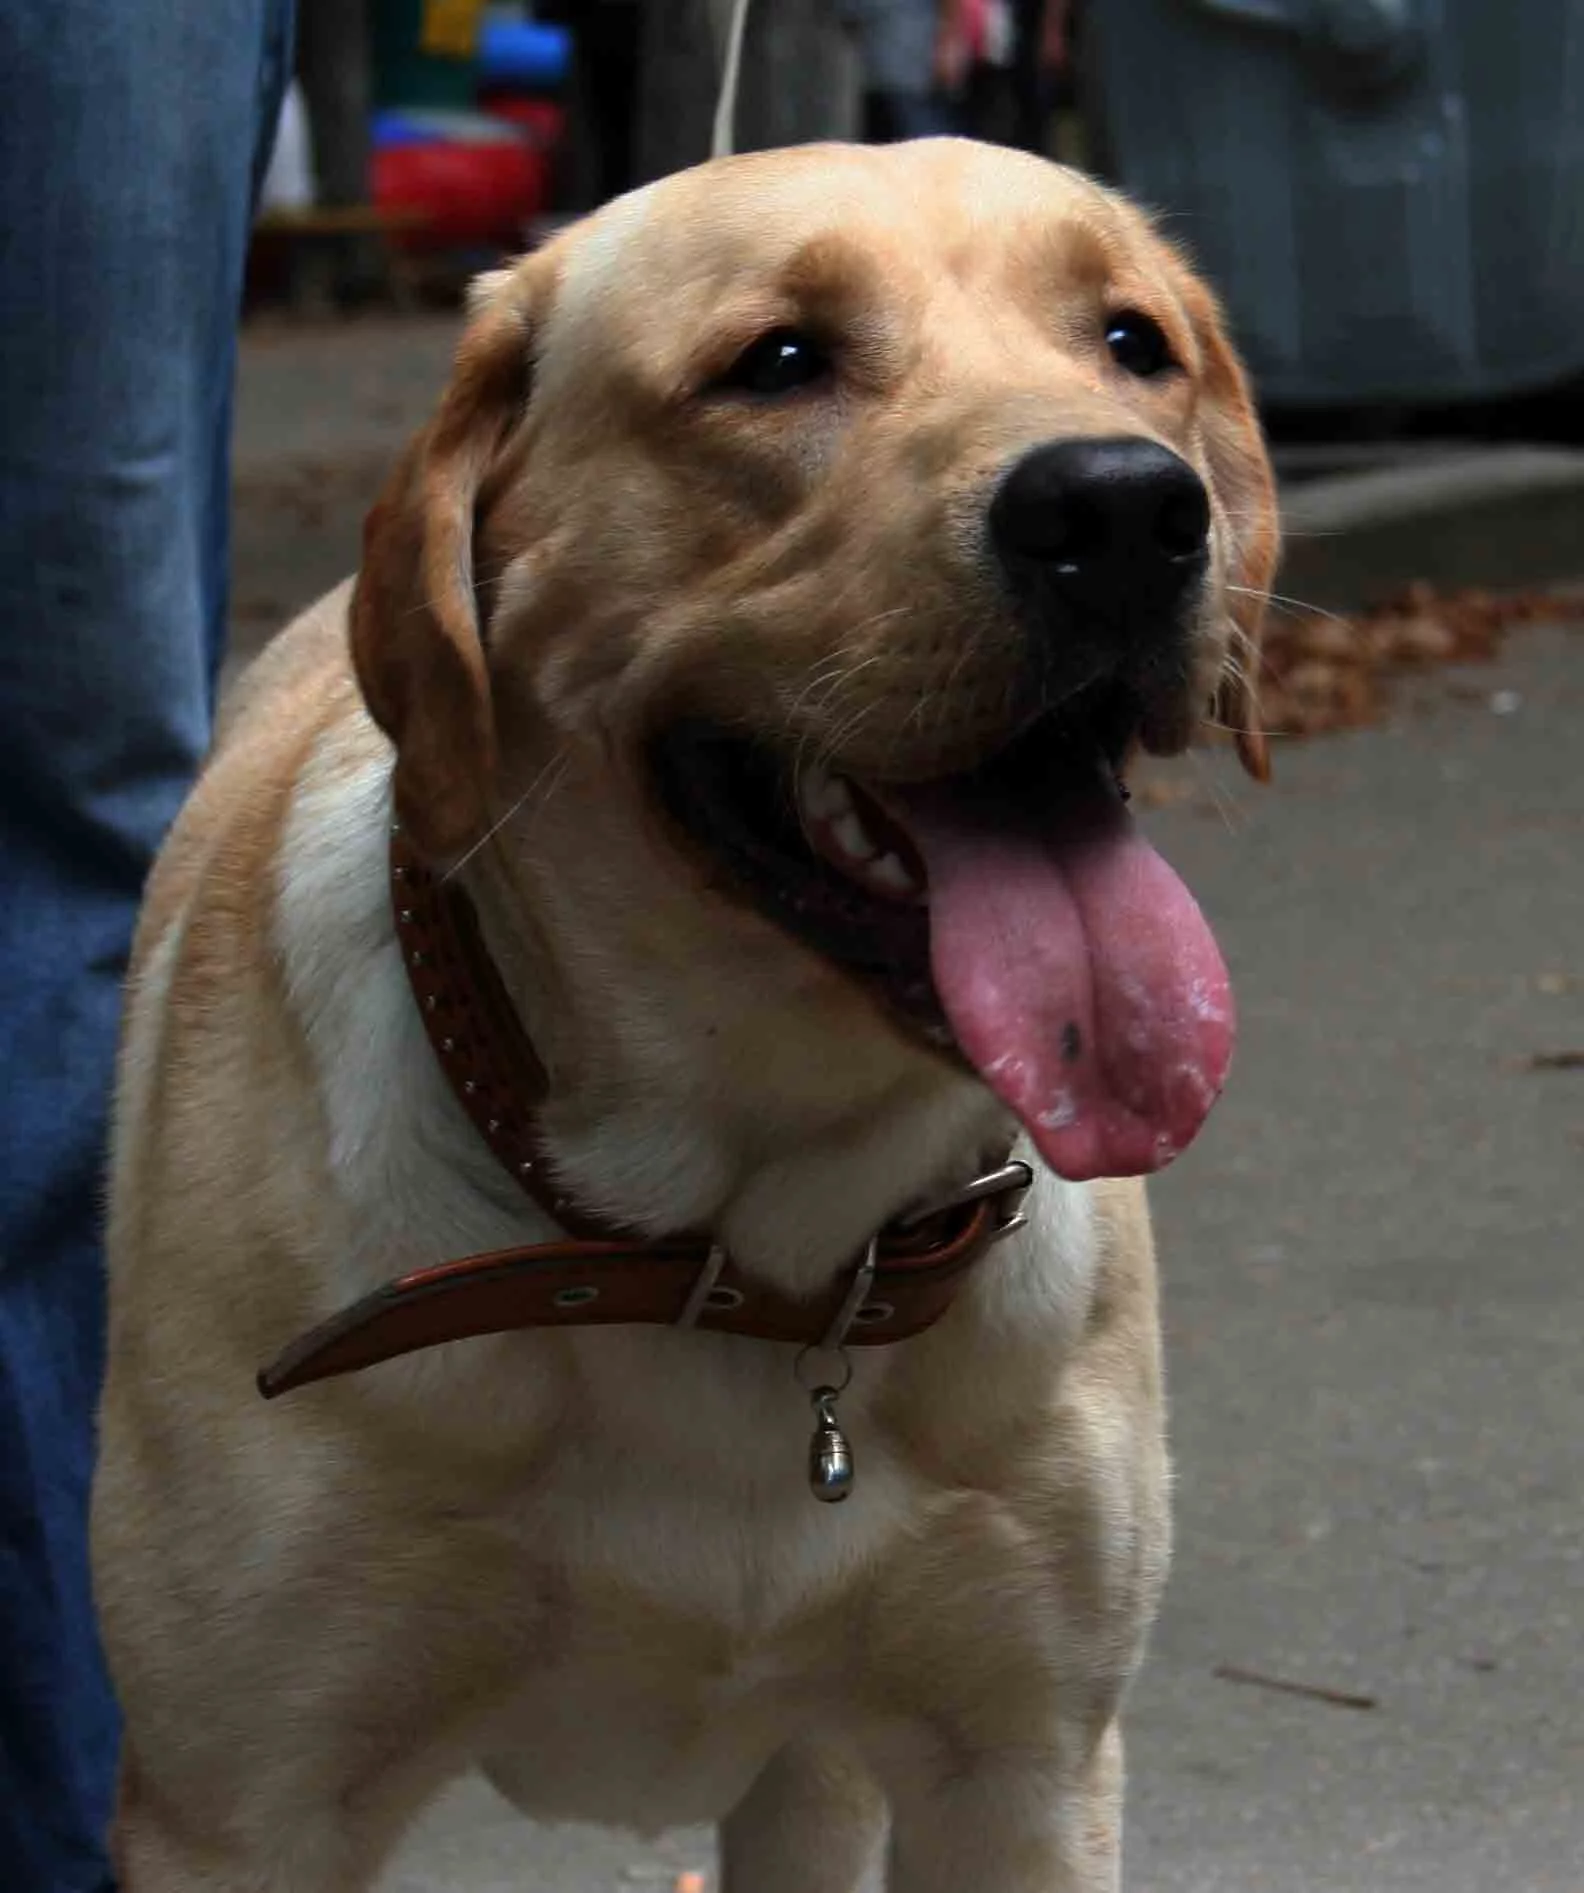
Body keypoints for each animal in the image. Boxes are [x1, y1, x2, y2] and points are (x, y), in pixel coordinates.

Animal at [93, 138, 1277, 1892]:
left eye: (1136, 342)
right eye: (776, 362)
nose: (1127, 510)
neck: (735, 1258)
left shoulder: (1024, 1773)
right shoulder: (239, 1811)